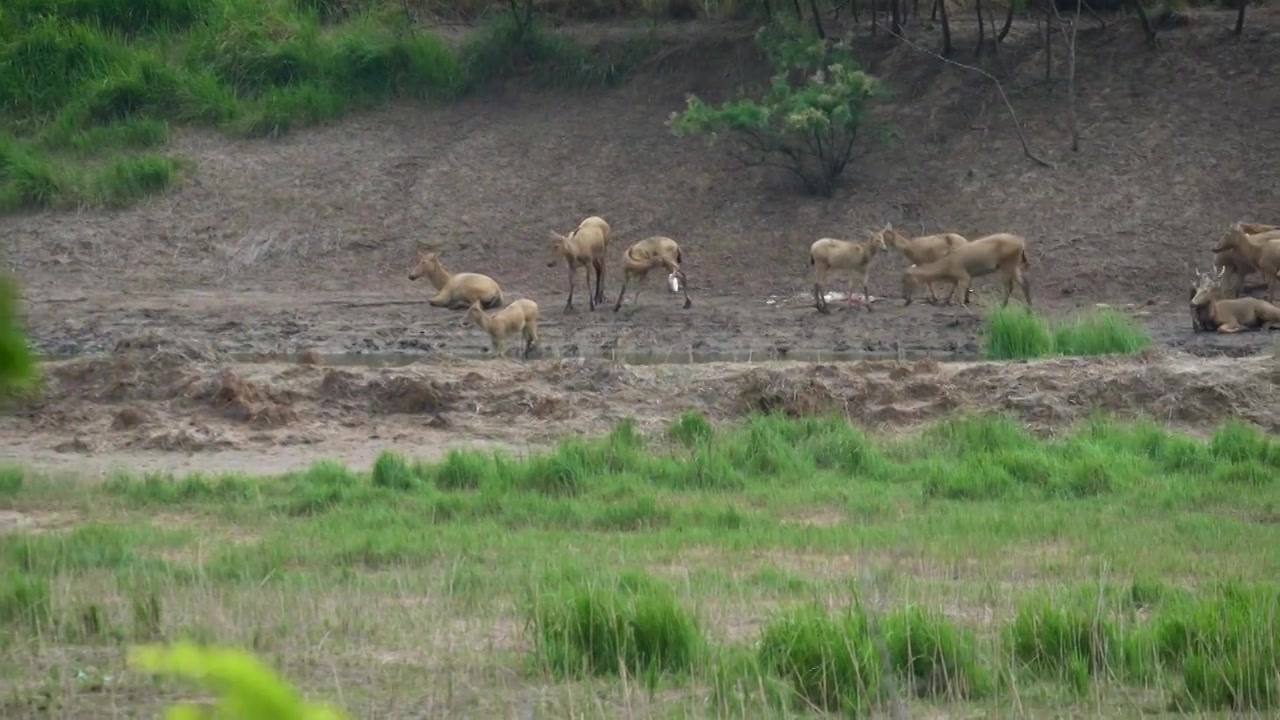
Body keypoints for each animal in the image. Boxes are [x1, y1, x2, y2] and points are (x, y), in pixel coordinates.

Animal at [901, 233, 1029, 304]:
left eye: (904, 279)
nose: (904, 297)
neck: (946, 266)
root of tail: (1021, 243)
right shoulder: (963, 276)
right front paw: (947, 300)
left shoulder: (963, 275)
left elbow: (959, 296)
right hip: (1013, 265)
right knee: (1023, 282)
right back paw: (1028, 309)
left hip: (1007, 264)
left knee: (1009, 287)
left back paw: (1003, 307)